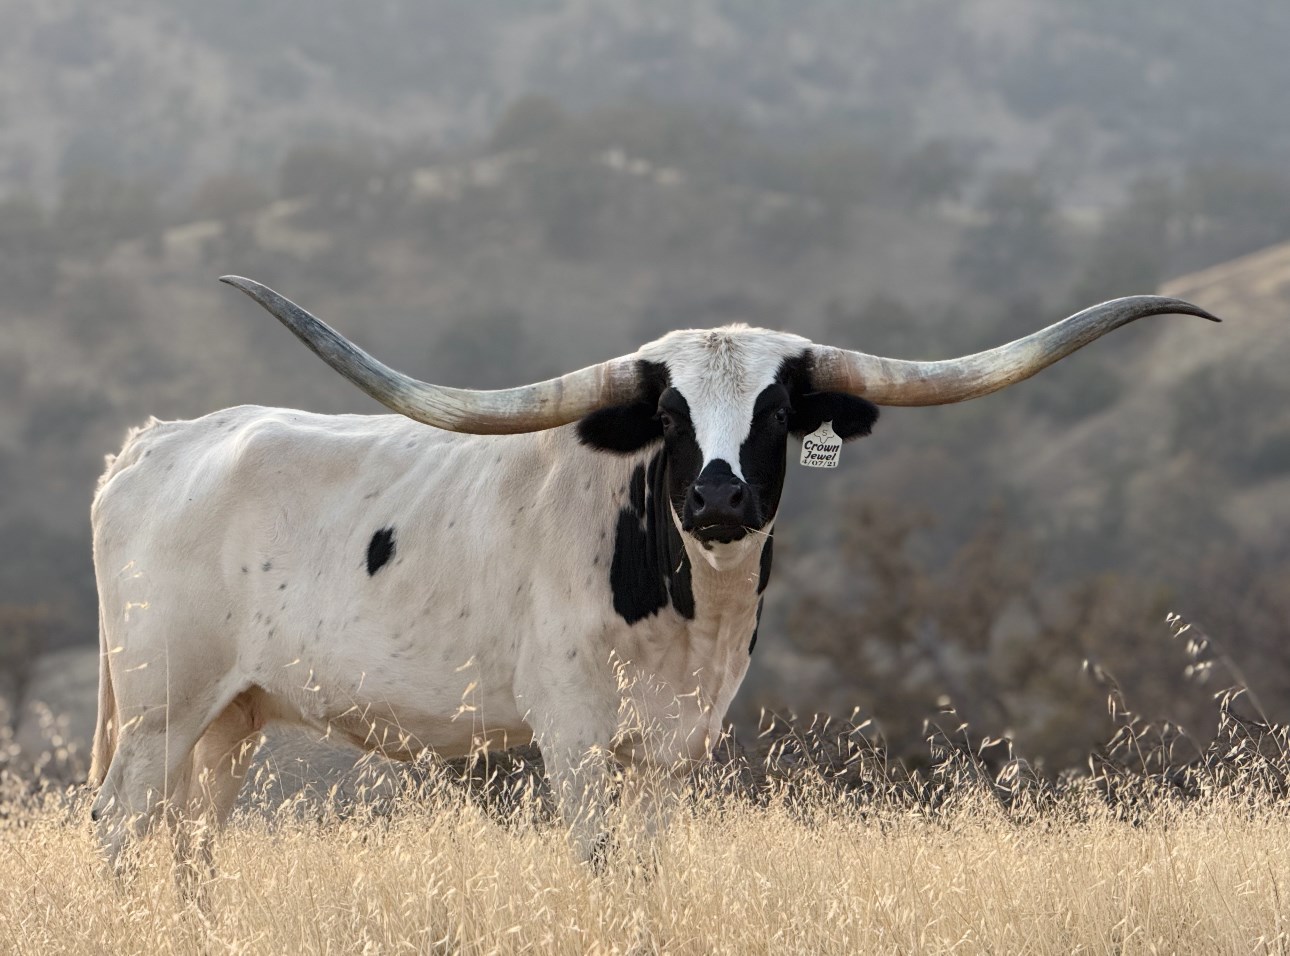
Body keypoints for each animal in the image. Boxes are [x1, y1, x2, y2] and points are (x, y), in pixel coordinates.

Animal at [89, 277, 1217, 874]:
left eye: (779, 409)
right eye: (670, 414)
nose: (718, 498)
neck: (687, 621)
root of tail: (156, 441)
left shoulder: (677, 750)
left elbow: (650, 867)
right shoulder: (574, 737)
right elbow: (600, 866)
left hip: (231, 717)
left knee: (189, 846)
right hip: (156, 710)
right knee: (118, 826)